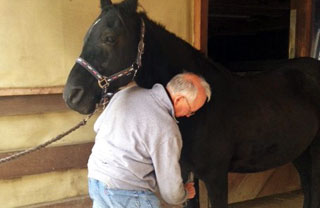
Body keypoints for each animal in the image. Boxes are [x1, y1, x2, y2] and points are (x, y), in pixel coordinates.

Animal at [63, 0, 320, 207]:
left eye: (109, 38)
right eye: (86, 36)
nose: (72, 96)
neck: (203, 114)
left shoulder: (216, 178)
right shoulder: (186, 173)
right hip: (300, 151)